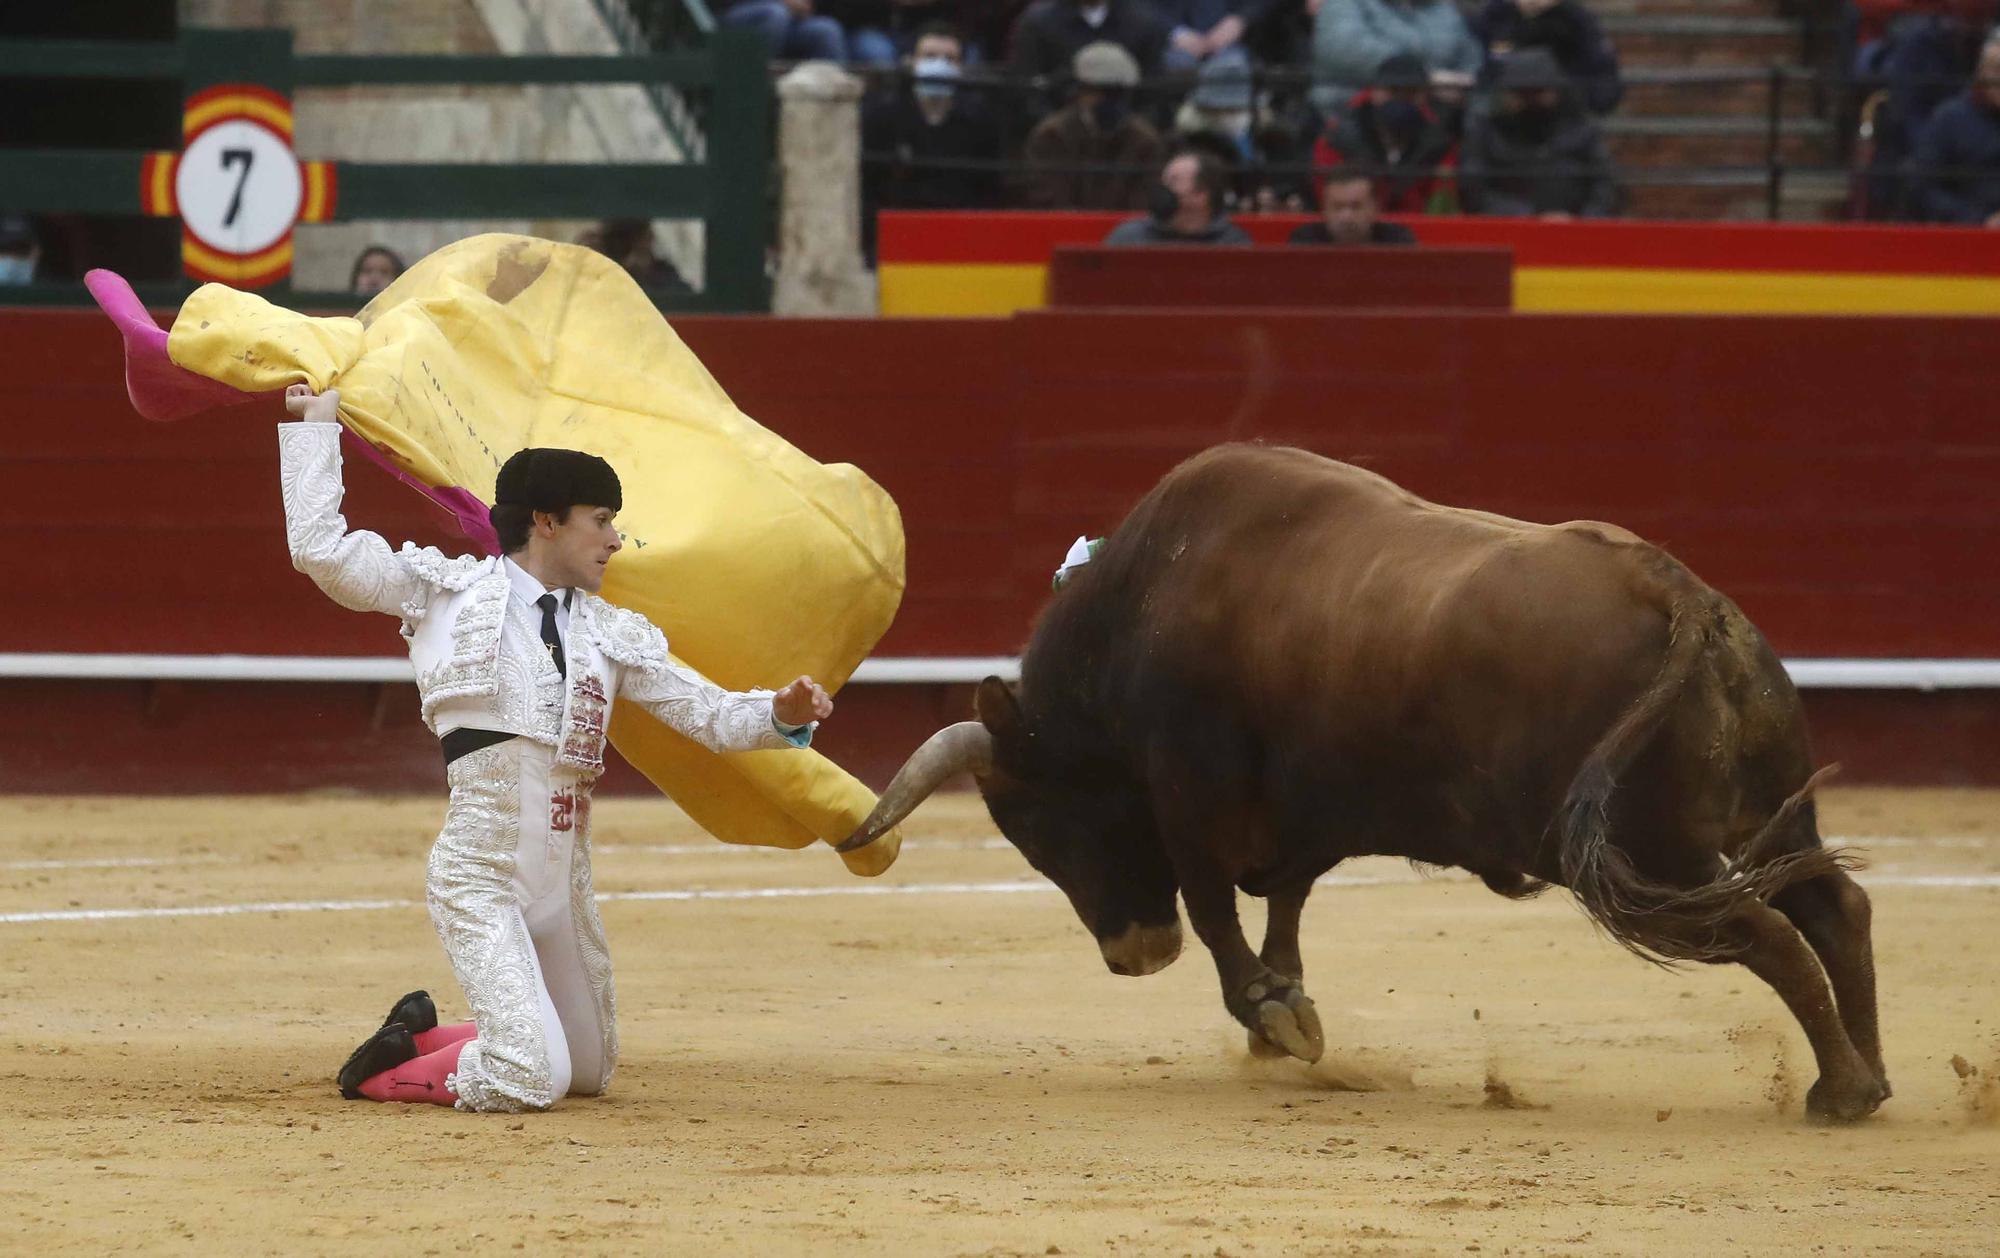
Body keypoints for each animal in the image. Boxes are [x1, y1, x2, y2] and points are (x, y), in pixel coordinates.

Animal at [844, 442, 1888, 1120]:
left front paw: (1270, 1013)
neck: (1139, 610)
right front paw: (1288, 1013)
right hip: (1767, 815)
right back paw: (1866, 1079)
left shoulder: (1190, 800)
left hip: (1646, 860)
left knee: (1766, 931)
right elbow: (1286, 905)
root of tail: (1676, 593)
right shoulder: (1296, 821)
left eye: (1043, 829)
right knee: (1833, 906)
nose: (1133, 956)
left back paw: (1838, 1090)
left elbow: (1218, 910)